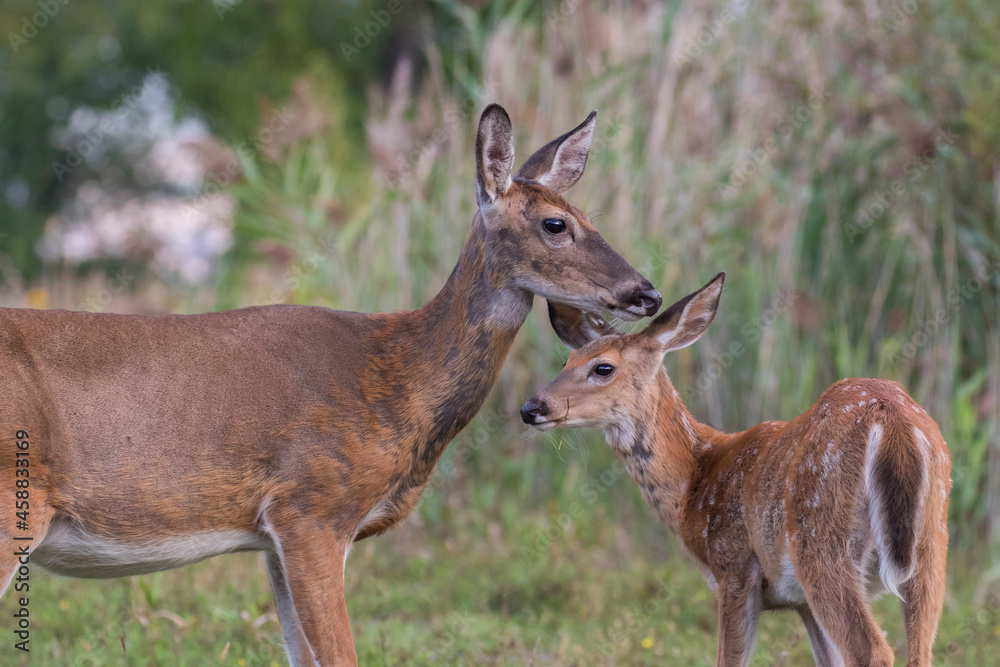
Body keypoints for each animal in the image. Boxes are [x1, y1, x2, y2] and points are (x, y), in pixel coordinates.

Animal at [1, 105, 664, 667]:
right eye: (556, 224)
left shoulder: (273, 538)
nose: (646, 293)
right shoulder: (311, 507)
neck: (398, 374)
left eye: (590, 216)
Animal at [520, 274, 948, 664]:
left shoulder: (734, 566)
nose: (532, 407)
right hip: (930, 546)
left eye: (603, 368)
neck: (696, 479)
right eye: (566, 361)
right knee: (919, 649)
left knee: (873, 650)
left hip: (823, 542)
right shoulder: (798, 601)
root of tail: (891, 421)